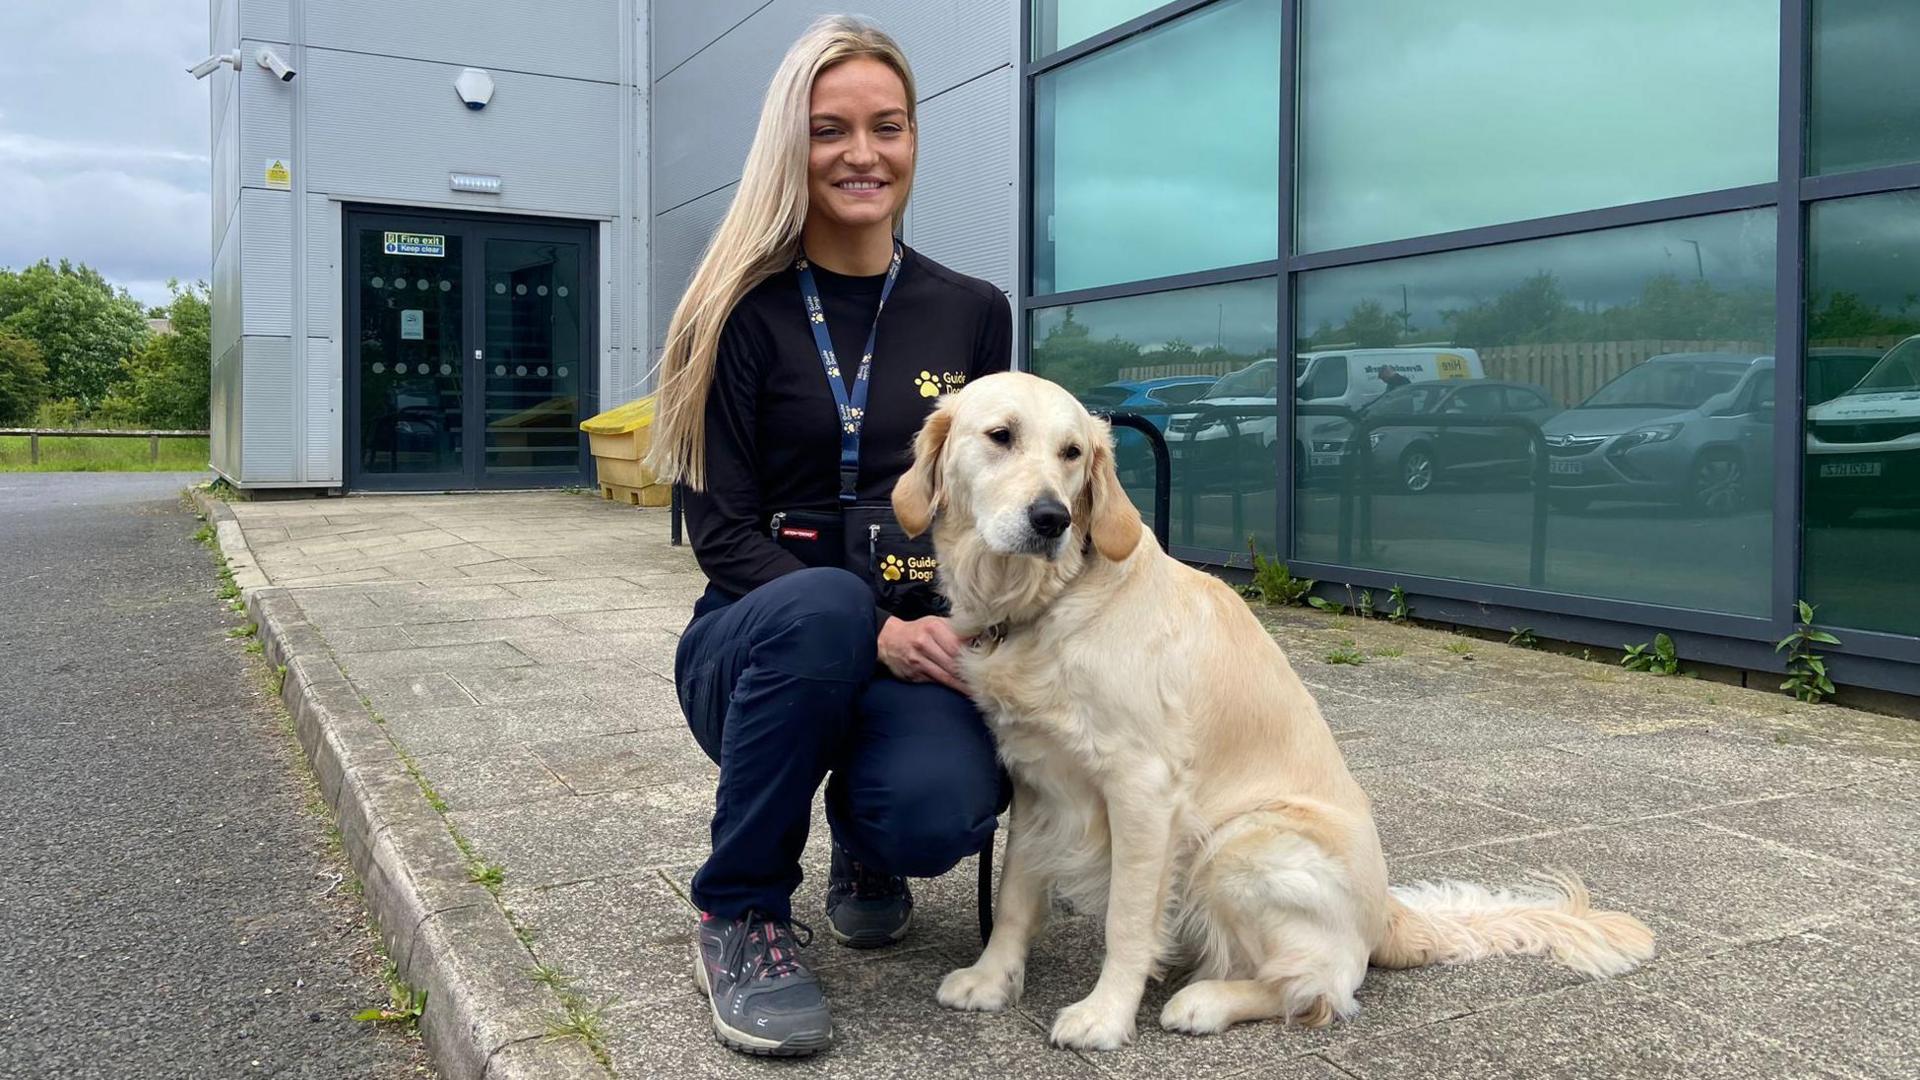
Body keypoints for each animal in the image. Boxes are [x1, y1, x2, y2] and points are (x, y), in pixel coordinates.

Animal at [890, 374, 1658, 1045]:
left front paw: (1105, 1017)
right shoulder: (1035, 779)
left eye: (1072, 452)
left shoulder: (1144, 787)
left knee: (1323, 987)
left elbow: (1128, 922)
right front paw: (992, 979)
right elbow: (1015, 894)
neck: (1051, 604)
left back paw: (1203, 1001)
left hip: (1239, 845)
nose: (1050, 518)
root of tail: (1388, 913)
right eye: (1000, 436)